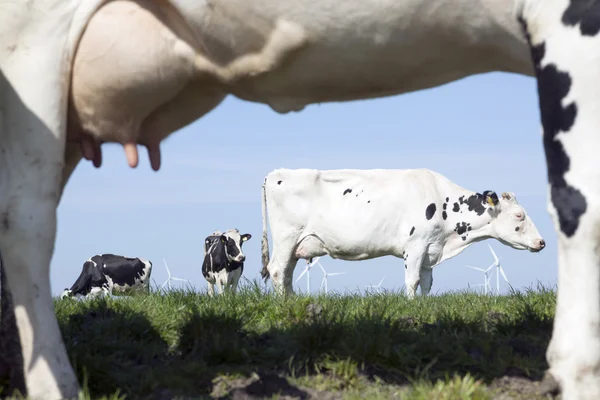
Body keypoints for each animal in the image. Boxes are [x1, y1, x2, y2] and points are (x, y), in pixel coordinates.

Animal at [260, 167, 548, 298]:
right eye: (519, 215)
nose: (542, 242)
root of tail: (275, 173)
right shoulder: (415, 245)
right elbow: (412, 280)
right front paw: (411, 305)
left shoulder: (430, 248)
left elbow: (427, 282)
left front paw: (424, 305)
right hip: (286, 237)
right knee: (278, 269)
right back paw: (283, 303)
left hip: (296, 243)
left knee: (287, 272)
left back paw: (291, 300)